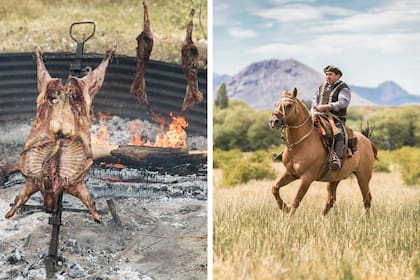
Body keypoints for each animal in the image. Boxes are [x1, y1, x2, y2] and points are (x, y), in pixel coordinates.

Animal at [270, 87, 378, 217]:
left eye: (289, 105)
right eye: (275, 104)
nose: (273, 121)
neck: (300, 144)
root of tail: (367, 140)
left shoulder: (307, 178)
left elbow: (296, 200)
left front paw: (288, 217)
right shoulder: (290, 173)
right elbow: (275, 188)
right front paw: (285, 207)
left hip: (363, 177)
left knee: (367, 199)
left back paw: (366, 220)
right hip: (334, 179)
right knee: (331, 199)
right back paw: (321, 218)